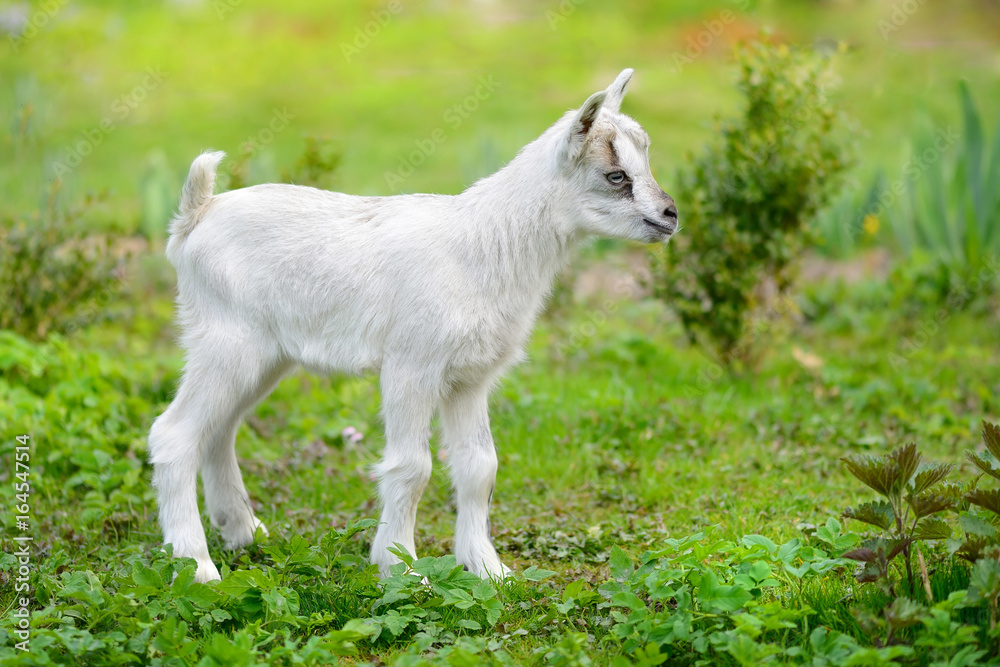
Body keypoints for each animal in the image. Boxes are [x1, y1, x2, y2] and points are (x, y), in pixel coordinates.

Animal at [149, 68, 678, 583]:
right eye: (615, 175)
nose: (670, 215)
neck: (483, 244)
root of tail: (197, 214)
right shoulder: (412, 366)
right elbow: (412, 467)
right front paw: (401, 569)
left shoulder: (470, 378)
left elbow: (479, 466)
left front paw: (489, 569)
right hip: (227, 341)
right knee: (175, 435)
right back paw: (196, 566)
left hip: (266, 356)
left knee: (220, 430)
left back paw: (243, 533)